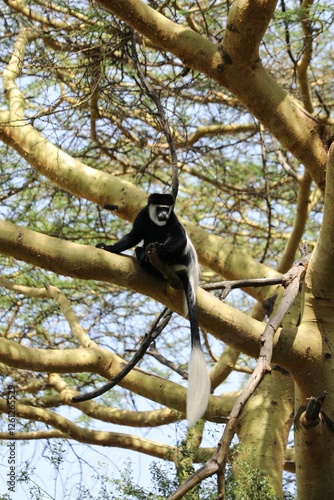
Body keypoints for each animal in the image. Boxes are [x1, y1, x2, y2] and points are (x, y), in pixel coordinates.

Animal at [75, 193, 210, 428]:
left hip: (179, 260)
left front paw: (157, 249)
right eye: (159, 208)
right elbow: (132, 237)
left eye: (167, 208)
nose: (163, 214)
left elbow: (179, 239)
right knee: (140, 245)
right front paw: (109, 248)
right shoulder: (142, 216)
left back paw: (149, 258)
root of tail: (187, 273)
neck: (158, 222)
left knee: (166, 247)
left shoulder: (173, 221)